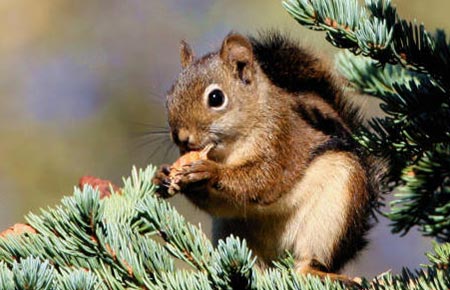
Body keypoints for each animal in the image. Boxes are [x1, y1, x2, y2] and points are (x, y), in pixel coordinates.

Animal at [153, 32, 382, 284]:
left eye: (216, 97)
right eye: (169, 96)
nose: (181, 137)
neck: (228, 151)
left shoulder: (282, 140)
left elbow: (264, 179)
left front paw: (209, 172)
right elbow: (219, 203)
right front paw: (162, 176)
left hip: (334, 212)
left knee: (308, 264)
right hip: (230, 231)